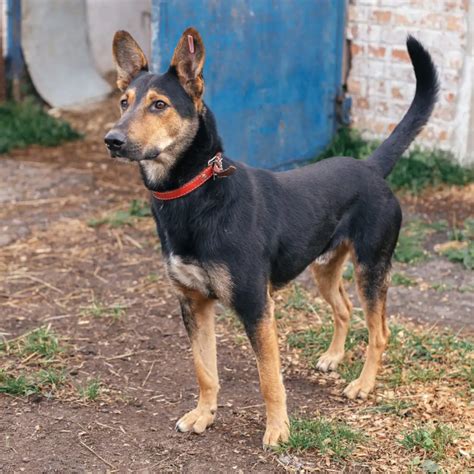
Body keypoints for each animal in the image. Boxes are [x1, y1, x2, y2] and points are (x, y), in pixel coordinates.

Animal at [105, 27, 438, 446]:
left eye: (159, 105)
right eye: (123, 103)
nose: (111, 140)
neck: (195, 192)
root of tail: (370, 167)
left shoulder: (256, 304)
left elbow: (269, 377)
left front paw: (279, 429)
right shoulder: (193, 303)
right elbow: (204, 369)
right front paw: (204, 415)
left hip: (371, 268)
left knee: (379, 332)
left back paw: (363, 384)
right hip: (323, 267)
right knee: (344, 308)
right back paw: (333, 357)